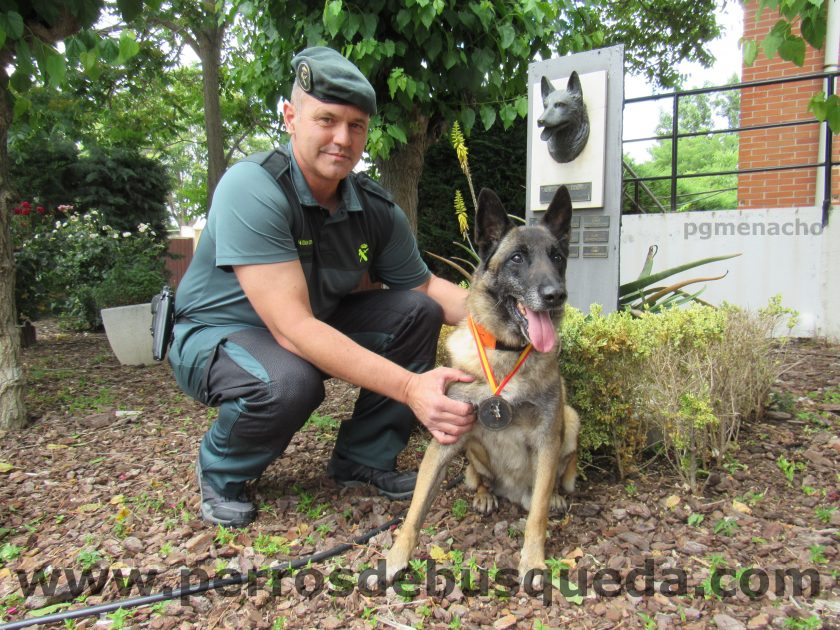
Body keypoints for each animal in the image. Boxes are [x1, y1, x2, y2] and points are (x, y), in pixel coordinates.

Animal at [386, 186, 576, 588]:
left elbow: (536, 518)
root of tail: (513, 492)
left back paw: (553, 495)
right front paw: (396, 556)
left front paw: (533, 561)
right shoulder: (444, 438)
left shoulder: (547, 440)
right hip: (472, 446)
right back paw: (486, 494)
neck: (506, 352)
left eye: (557, 257)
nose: (556, 295)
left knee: (554, 482)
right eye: (517, 258)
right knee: (481, 478)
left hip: (571, 419)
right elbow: (415, 510)